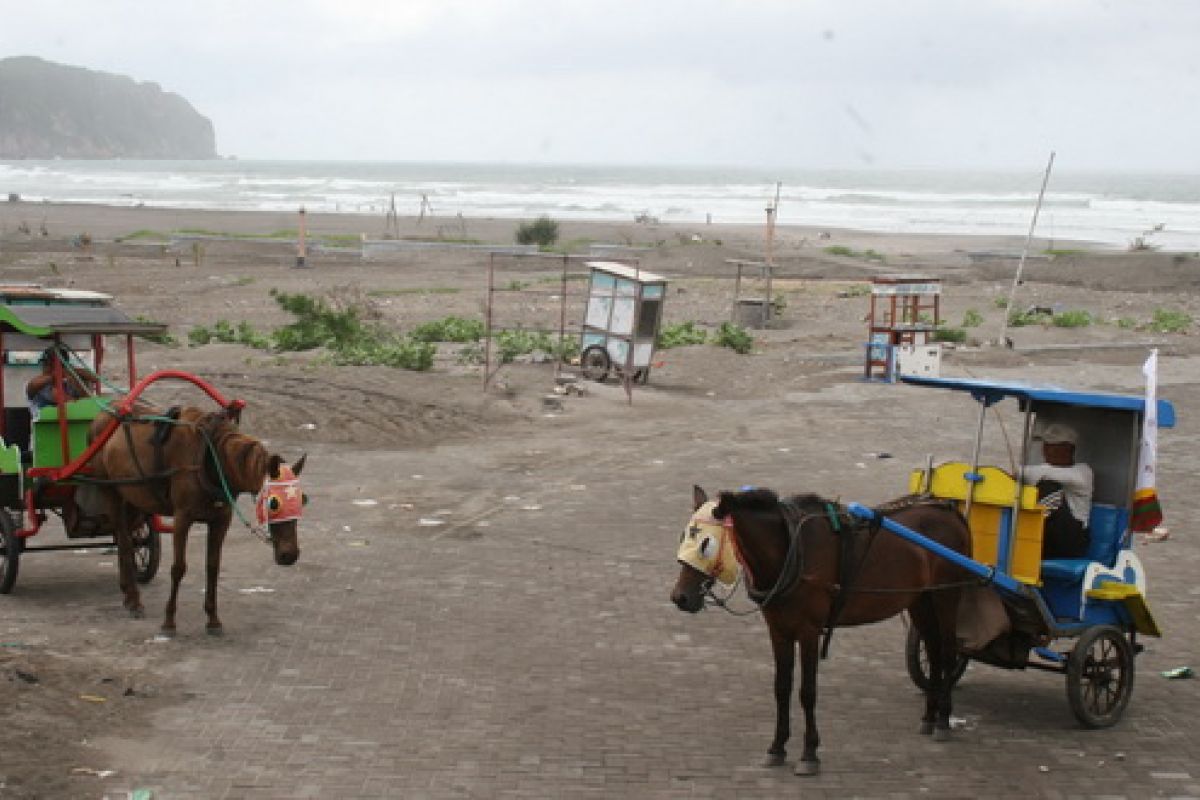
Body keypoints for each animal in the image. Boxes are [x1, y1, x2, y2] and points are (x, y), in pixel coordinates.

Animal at [87, 407, 307, 638]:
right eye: (274, 503)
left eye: (303, 499)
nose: (290, 555)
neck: (211, 459)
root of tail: (101, 417)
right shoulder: (182, 518)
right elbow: (178, 568)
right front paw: (169, 621)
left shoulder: (221, 520)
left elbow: (212, 567)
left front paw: (213, 619)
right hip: (110, 490)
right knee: (124, 540)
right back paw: (134, 600)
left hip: (133, 496)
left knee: (126, 539)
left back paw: (128, 593)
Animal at [672, 484, 969, 777]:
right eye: (683, 537)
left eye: (706, 544)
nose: (680, 598)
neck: (790, 549)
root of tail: (949, 511)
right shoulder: (778, 631)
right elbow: (781, 687)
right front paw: (777, 747)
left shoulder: (809, 632)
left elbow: (807, 692)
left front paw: (809, 752)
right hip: (921, 599)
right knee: (933, 649)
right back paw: (929, 716)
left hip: (946, 595)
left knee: (947, 651)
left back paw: (943, 719)